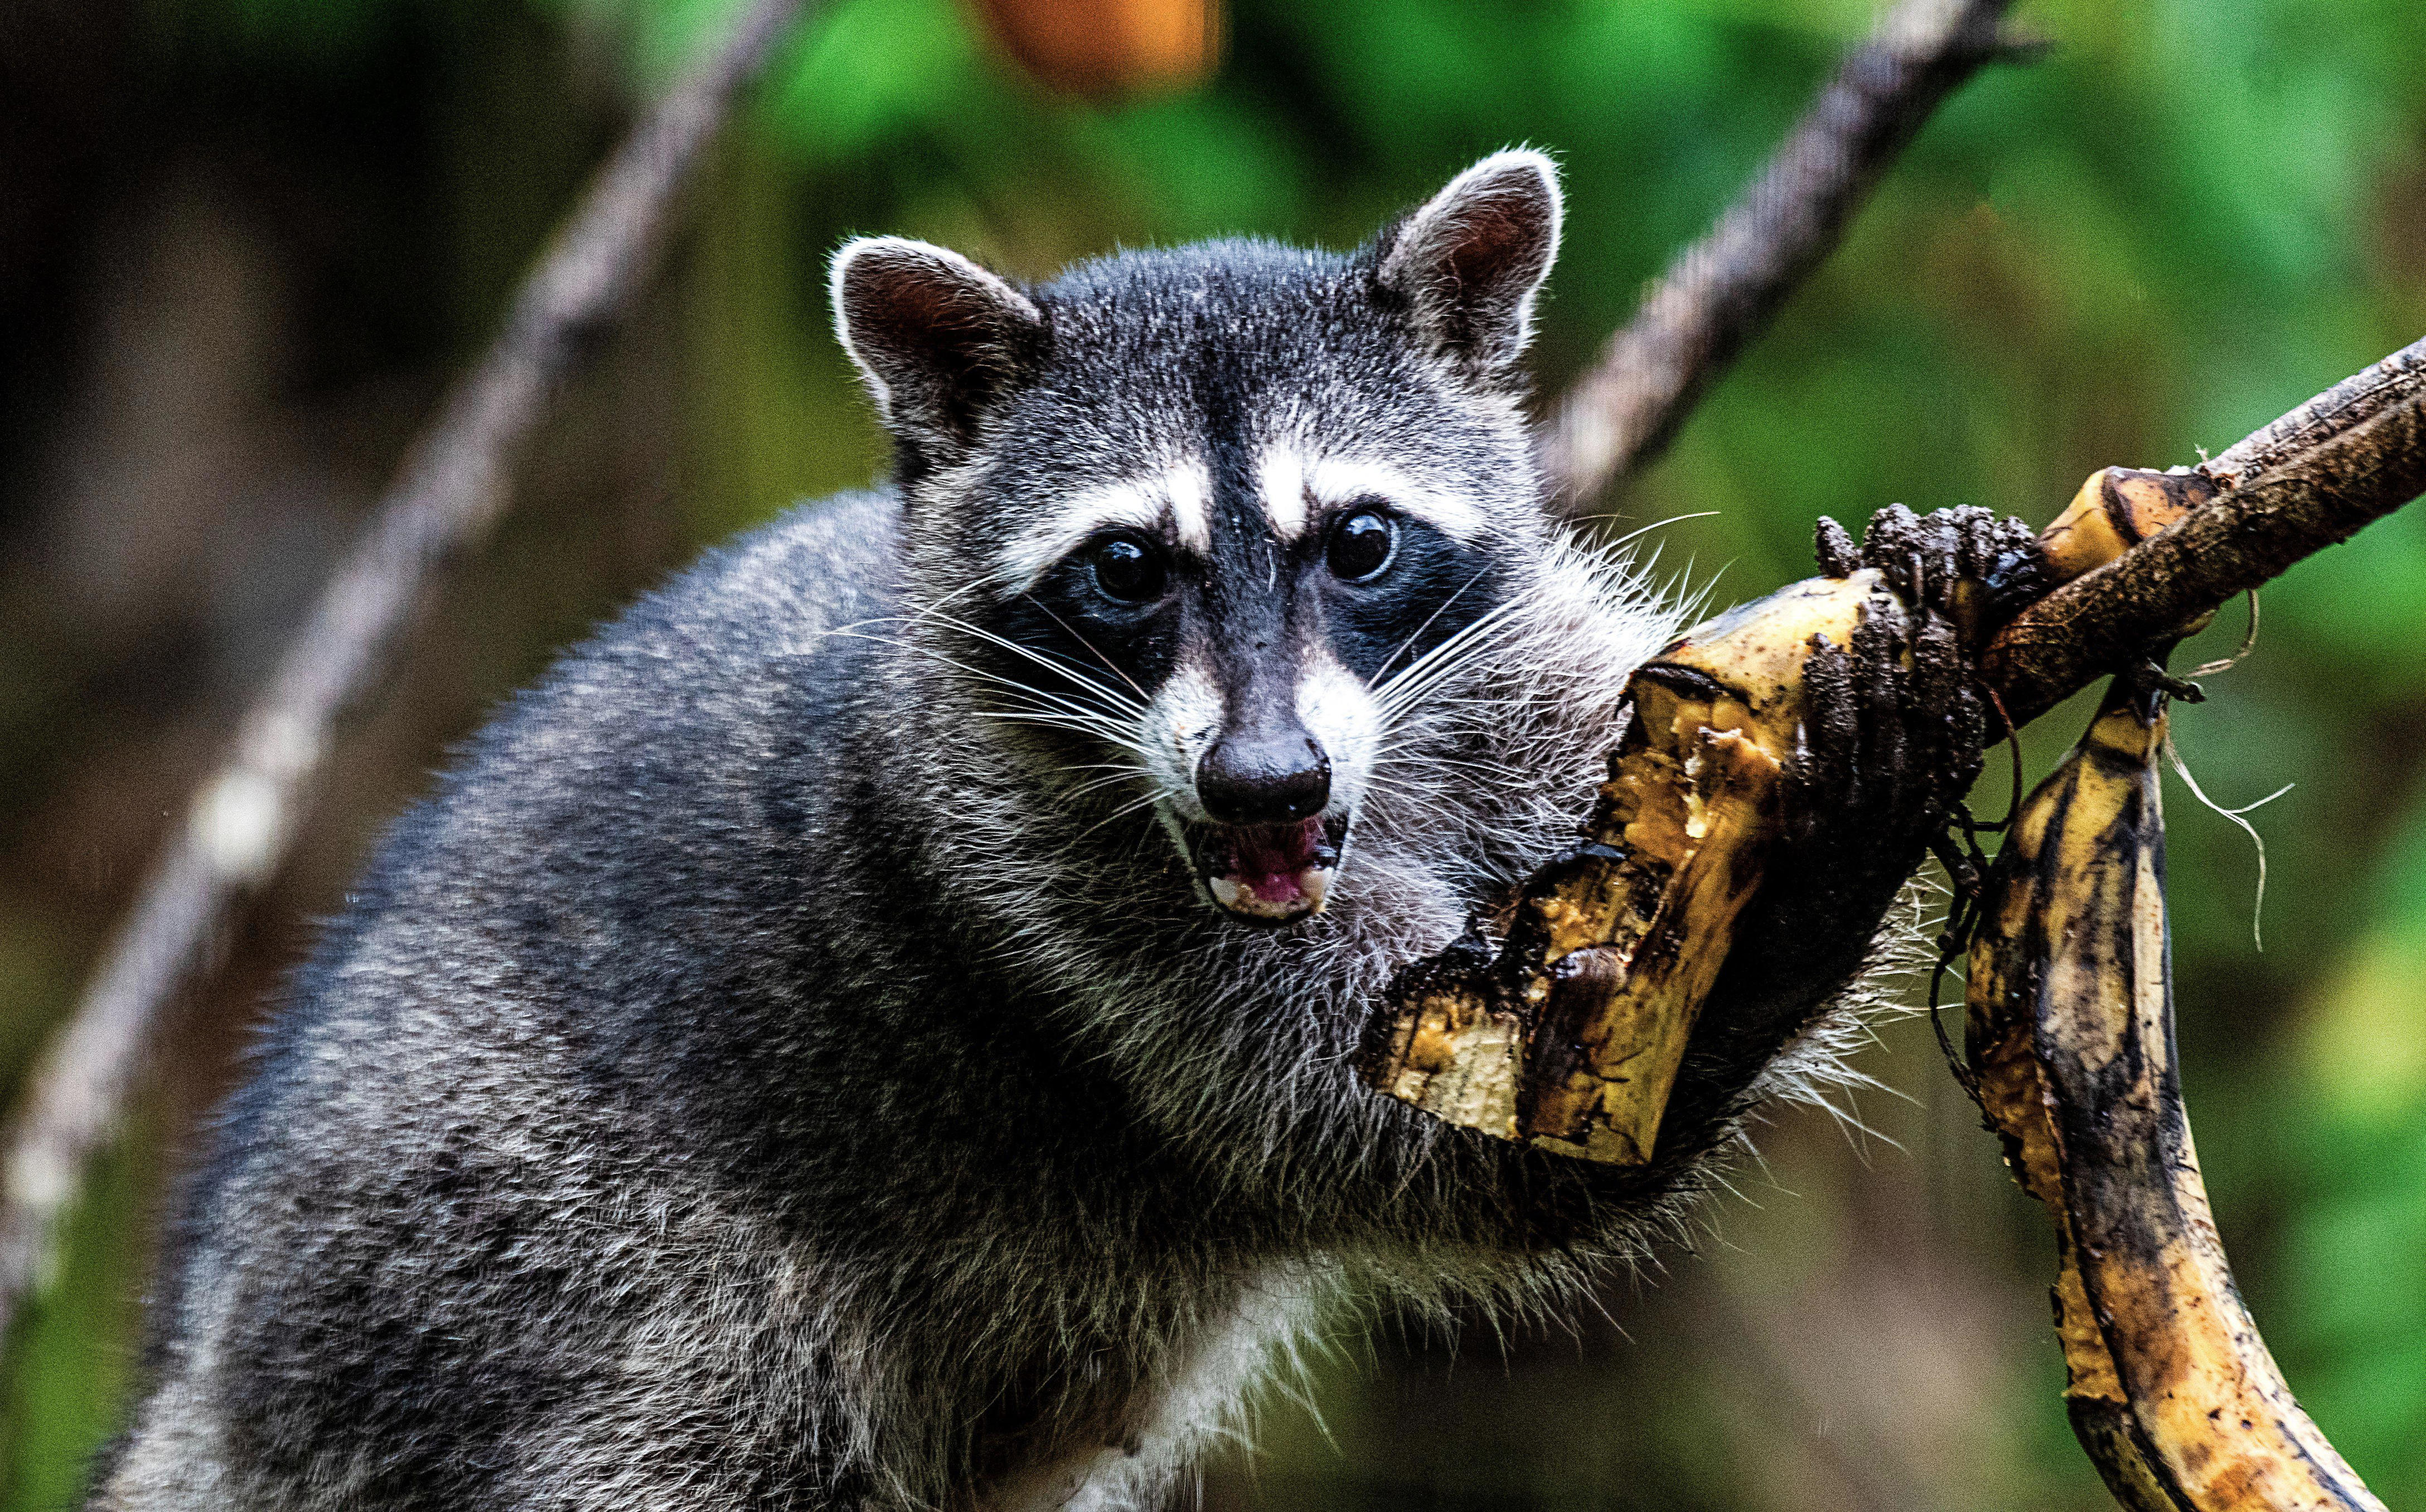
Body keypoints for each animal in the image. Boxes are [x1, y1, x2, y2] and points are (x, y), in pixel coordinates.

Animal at [92, 151, 1984, 1511]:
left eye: (1358, 541)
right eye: (1127, 569)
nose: (1263, 784)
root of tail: (205, 1359)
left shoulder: (1512, 670)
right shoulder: (1028, 902)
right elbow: (1462, 1142)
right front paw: (1803, 890)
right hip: (538, 1279)